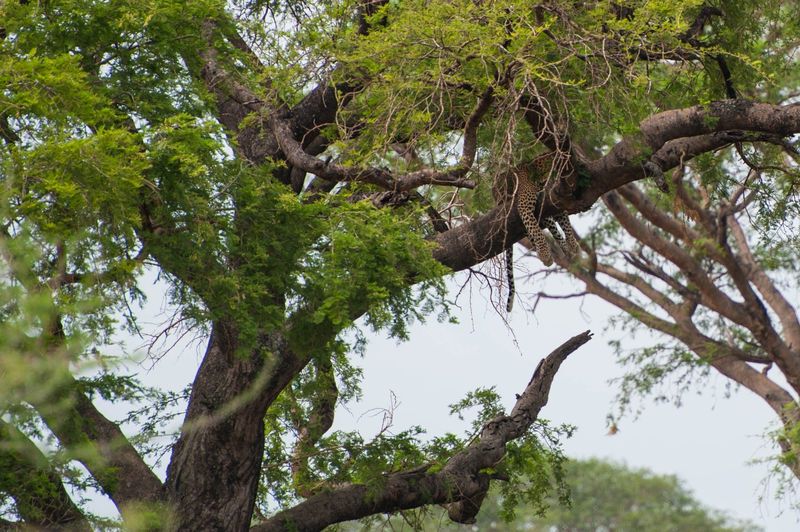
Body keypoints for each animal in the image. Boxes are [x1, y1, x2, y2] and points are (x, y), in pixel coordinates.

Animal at [495, 151, 580, 312]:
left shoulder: (555, 202)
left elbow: (566, 224)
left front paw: (573, 245)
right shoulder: (524, 206)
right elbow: (536, 230)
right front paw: (546, 255)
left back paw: (566, 249)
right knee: (535, 231)